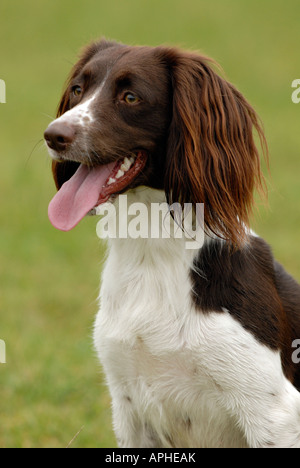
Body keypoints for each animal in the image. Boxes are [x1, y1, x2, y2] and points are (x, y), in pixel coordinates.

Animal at [44, 38, 300, 448]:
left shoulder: (274, 413)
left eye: (131, 97)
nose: (54, 135)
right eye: (78, 90)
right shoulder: (130, 409)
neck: (151, 251)